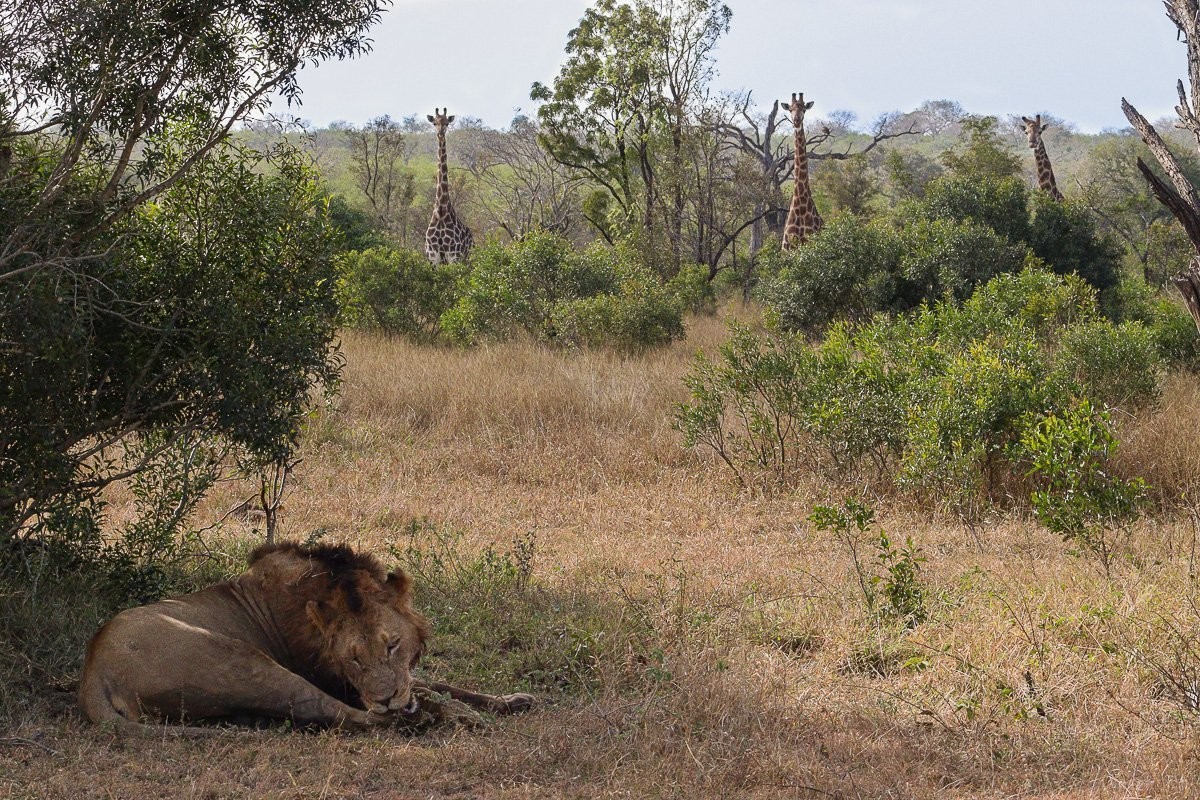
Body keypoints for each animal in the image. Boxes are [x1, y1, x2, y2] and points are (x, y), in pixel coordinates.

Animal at [78, 542, 534, 732]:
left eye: (392, 645)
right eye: (353, 659)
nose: (386, 699)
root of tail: (92, 673)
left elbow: (442, 684)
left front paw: (511, 700)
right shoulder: (341, 683)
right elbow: (429, 694)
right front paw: (462, 713)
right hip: (241, 661)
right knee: (346, 718)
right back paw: (430, 721)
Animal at [425, 108, 474, 264]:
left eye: (447, 123)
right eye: (434, 122)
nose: (440, 134)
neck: (441, 212)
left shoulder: (454, 255)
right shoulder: (432, 257)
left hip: (468, 259)